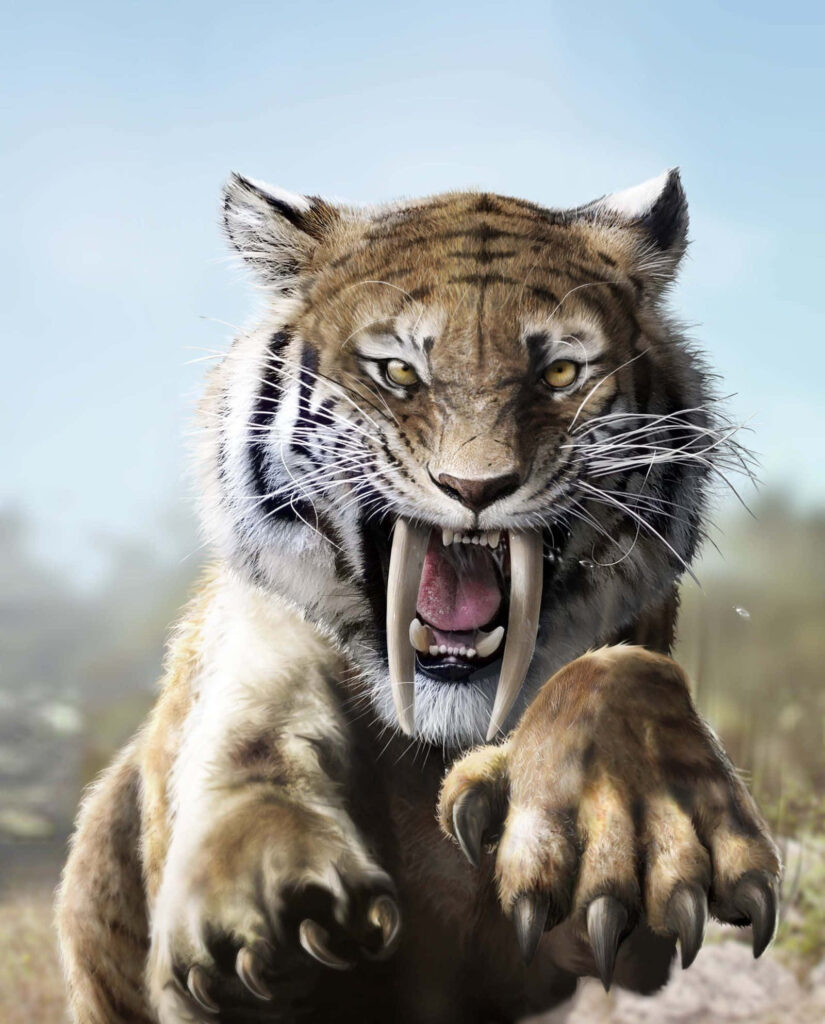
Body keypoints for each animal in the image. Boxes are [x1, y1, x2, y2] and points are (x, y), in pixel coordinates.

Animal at [56, 169, 781, 1024]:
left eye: (557, 373)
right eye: (399, 372)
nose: (475, 487)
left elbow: (620, 672)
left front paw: (630, 839)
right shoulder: (252, 652)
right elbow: (249, 739)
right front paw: (261, 902)